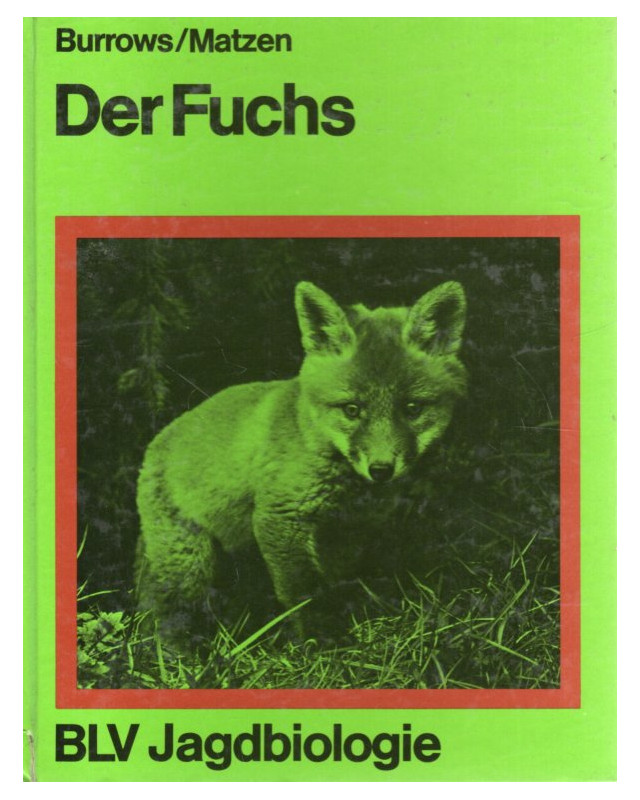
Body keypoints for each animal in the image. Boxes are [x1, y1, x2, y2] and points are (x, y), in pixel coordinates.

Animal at [136, 280, 467, 645]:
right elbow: (304, 594)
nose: (380, 470)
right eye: (352, 410)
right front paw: (321, 642)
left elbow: (337, 584)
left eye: (411, 409)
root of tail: (154, 444)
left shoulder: (348, 532)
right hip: (190, 564)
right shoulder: (280, 519)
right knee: (167, 616)